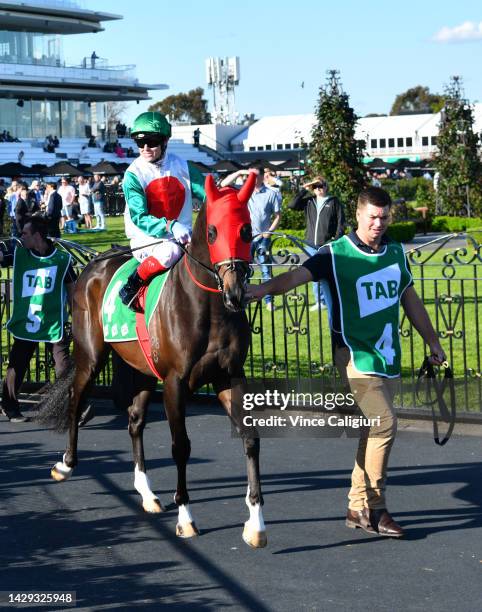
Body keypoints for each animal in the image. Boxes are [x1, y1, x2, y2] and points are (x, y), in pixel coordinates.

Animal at [39, 173, 268, 548]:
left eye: (247, 230)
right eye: (212, 231)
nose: (235, 293)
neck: (210, 309)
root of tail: (93, 262)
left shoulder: (229, 375)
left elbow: (250, 438)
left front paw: (256, 524)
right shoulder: (175, 381)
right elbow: (181, 446)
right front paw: (186, 517)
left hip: (142, 367)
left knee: (134, 421)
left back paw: (146, 493)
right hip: (91, 356)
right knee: (76, 398)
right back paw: (66, 464)